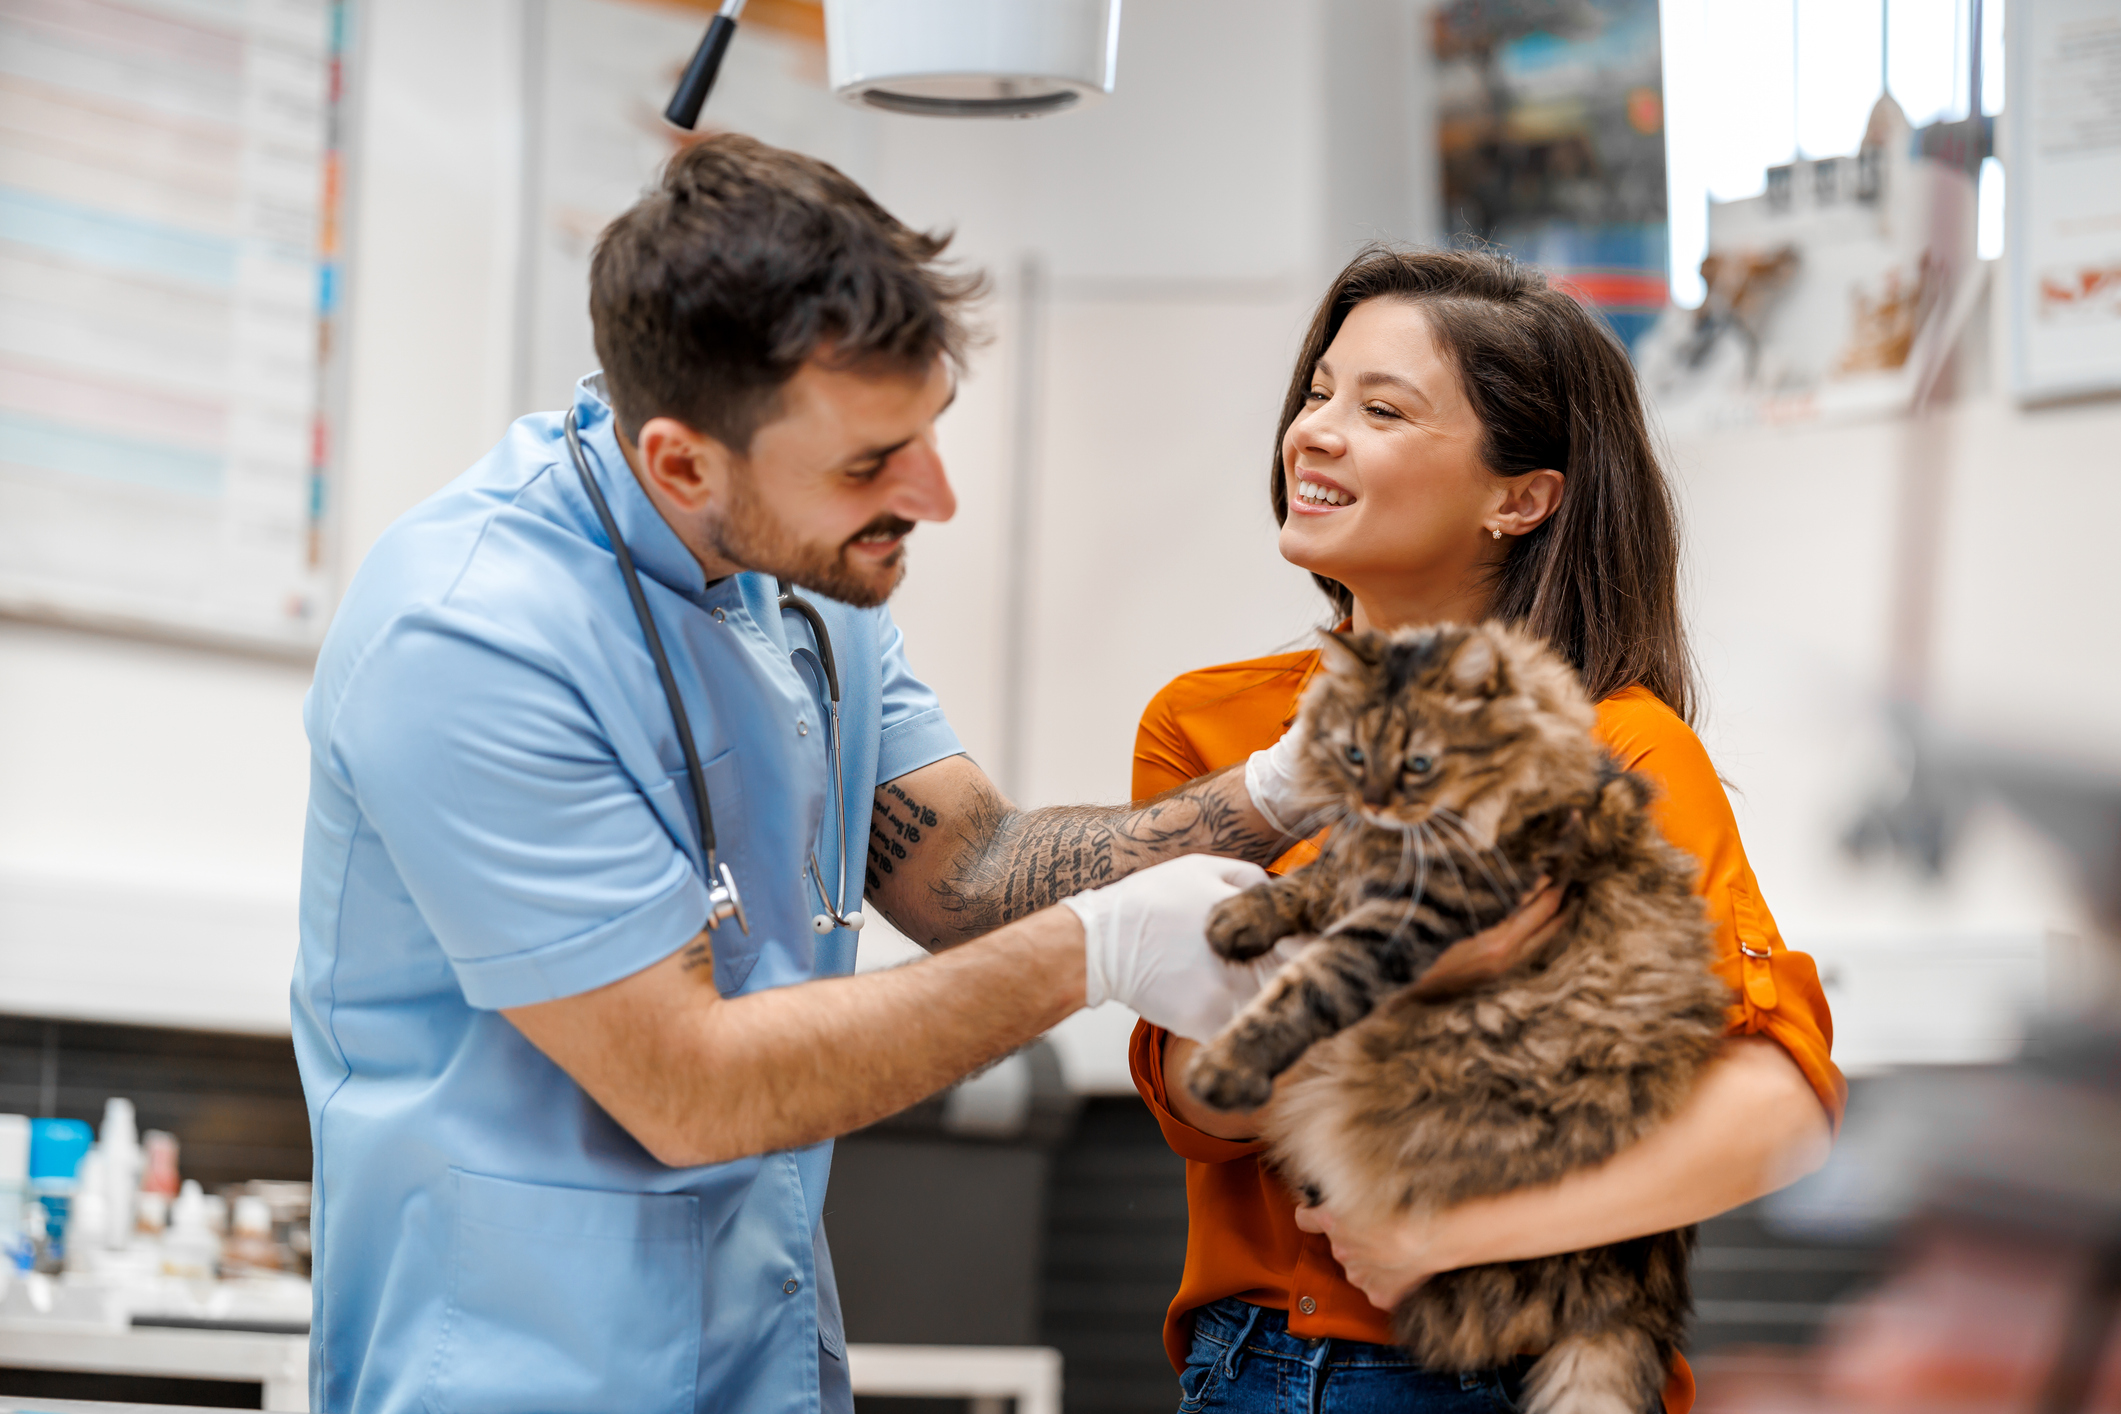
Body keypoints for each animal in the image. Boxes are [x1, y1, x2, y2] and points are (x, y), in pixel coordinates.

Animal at [1187, 623, 1730, 1414]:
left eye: (1419, 763)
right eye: (1354, 754)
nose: (1375, 801)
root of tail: (1636, 1291)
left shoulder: (1410, 917)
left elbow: (1308, 981)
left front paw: (1224, 1065)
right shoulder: (1357, 867)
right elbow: (1306, 880)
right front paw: (1238, 916)